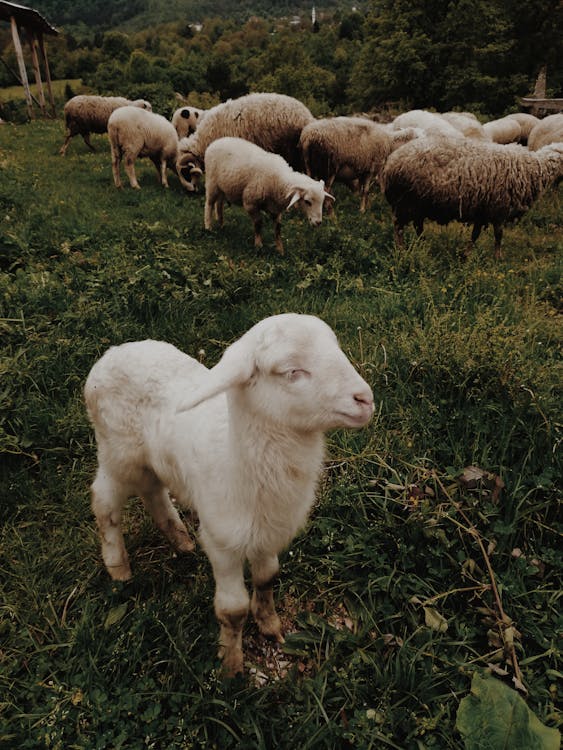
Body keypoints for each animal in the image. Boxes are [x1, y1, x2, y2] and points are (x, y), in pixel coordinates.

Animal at [83, 314, 374, 680]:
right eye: (291, 371)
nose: (365, 399)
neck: (238, 458)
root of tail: (111, 354)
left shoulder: (266, 532)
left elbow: (267, 577)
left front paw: (270, 625)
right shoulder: (222, 541)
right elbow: (233, 610)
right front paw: (231, 666)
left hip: (151, 460)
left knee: (153, 491)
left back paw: (181, 540)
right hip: (118, 454)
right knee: (104, 500)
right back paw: (119, 568)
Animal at [204, 140, 332, 258]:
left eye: (322, 202)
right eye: (307, 201)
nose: (318, 222)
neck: (278, 181)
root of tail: (216, 142)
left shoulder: (275, 209)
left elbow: (278, 229)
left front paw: (280, 250)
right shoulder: (250, 203)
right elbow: (258, 224)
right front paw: (258, 246)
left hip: (222, 187)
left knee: (219, 204)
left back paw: (221, 224)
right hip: (212, 183)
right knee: (209, 204)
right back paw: (208, 227)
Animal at [378, 137, 563, 260]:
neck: (534, 169)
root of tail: (390, 163)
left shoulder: (482, 210)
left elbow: (475, 235)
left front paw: (466, 254)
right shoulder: (499, 209)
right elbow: (498, 236)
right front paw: (497, 258)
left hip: (419, 204)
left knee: (418, 227)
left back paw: (423, 245)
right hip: (405, 203)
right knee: (399, 228)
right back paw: (402, 251)